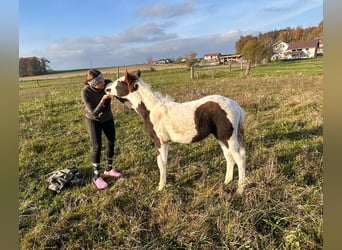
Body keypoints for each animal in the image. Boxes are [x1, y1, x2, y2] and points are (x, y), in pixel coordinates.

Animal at [105, 70, 247, 193]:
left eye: (119, 82)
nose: (106, 88)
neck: (151, 110)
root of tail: (236, 106)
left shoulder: (160, 142)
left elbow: (161, 163)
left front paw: (161, 187)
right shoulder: (165, 142)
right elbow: (163, 162)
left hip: (229, 137)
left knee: (239, 158)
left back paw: (240, 189)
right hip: (221, 138)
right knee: (229, 157)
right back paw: (227, 181)